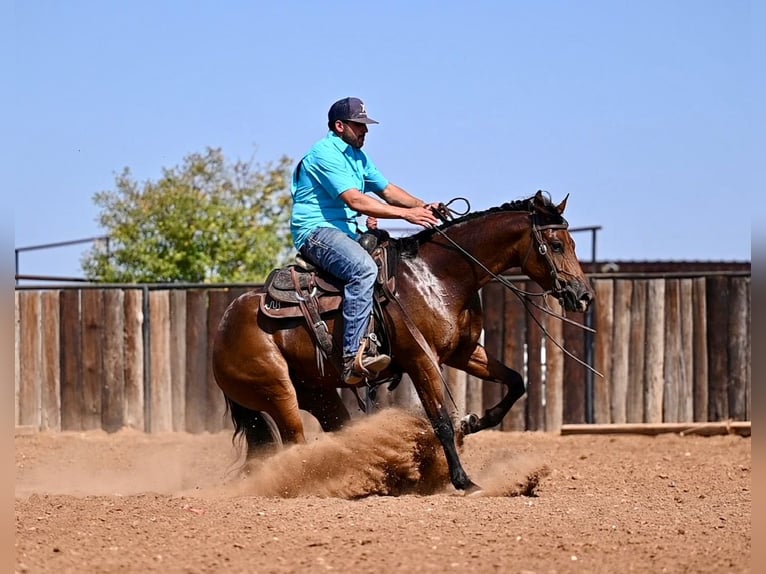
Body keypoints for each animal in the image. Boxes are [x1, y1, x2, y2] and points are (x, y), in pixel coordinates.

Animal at [213, 190, 596, 496]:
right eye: (557, 245)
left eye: (573, 243)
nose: (583, 295)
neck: (439, 276)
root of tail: (222, 329)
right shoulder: (421, 359)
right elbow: (440, 420)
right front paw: (464, 481)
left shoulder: (464, 352)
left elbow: (516, 382)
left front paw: (473, 422)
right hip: (279, 392)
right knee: (294, 443)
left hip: (318, 393)